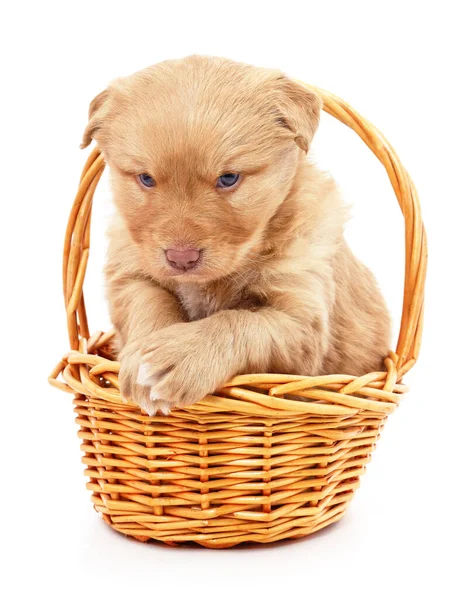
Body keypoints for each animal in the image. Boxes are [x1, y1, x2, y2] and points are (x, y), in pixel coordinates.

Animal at [82, 55, 390, 412]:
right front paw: (141, 359)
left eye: (229, 178)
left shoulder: (301, 322)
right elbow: (149, 302)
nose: (181, 259)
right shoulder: (130, 270)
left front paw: (179, 357)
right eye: (146, 179)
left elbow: (240, 320)